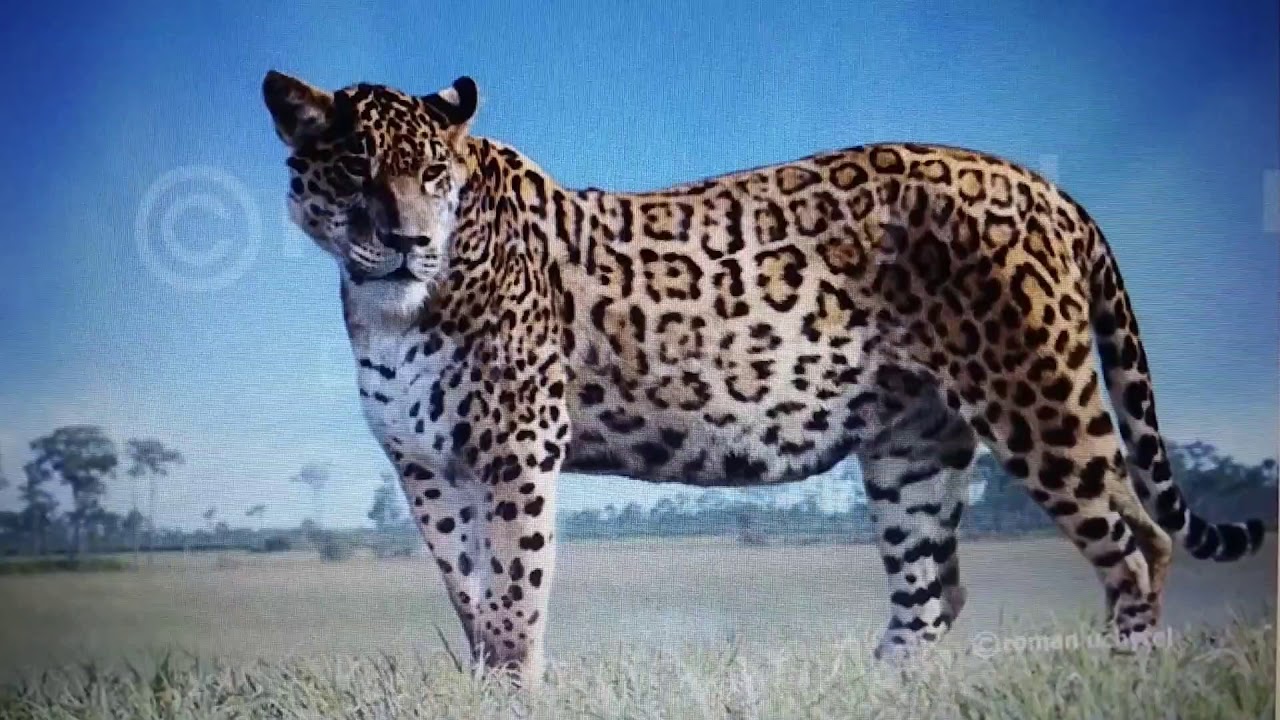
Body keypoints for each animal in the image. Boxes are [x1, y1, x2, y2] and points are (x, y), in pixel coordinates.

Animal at [261, 70, 1267, 687]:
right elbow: (467, 594)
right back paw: (873, 692)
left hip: (1039, 396)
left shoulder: (514, 451)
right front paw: (482, 683)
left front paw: (511, 689)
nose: (406, 239)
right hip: (913, 446)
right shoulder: (426, 469)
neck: (387, 307)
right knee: (930, 592)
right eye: (356, 170)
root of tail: (1046, 187)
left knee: (1138, 544)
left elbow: (514, 591)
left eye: (435, 174)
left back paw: (1124, 676)